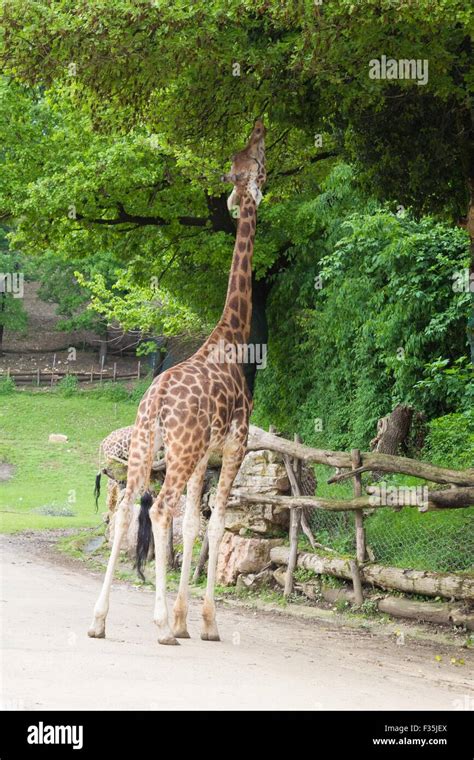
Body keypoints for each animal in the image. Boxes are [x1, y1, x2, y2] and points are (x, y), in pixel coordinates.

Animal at [89, 117, 266, 640]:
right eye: (260, 157)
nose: (259, 125)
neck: (232, 336)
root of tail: (157, 398)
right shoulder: (234, 444)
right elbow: (214, 524)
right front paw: (204, 623)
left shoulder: (205, 454)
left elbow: (193, 525)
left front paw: (188, 618)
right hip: (179, 452)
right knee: (159, 508)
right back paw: (161, 625)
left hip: (146, 447)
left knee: (129, 509)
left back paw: (100, 620)